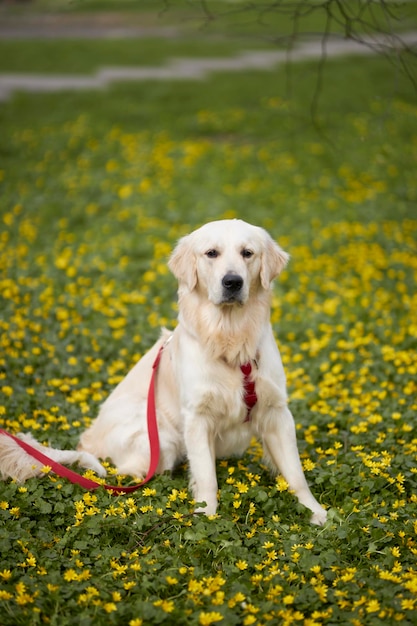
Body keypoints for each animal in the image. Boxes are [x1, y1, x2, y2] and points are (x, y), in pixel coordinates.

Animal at [0, 219, 324, 520]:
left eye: (248, 253)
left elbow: (296, 473)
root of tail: (90, 442)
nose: (232, 282)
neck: (231, 340)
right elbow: (207, 477)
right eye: (211, 253)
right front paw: (206, 515)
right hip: (162, 439)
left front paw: (316, 513)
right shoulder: (197, 418)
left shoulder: (277, 412)